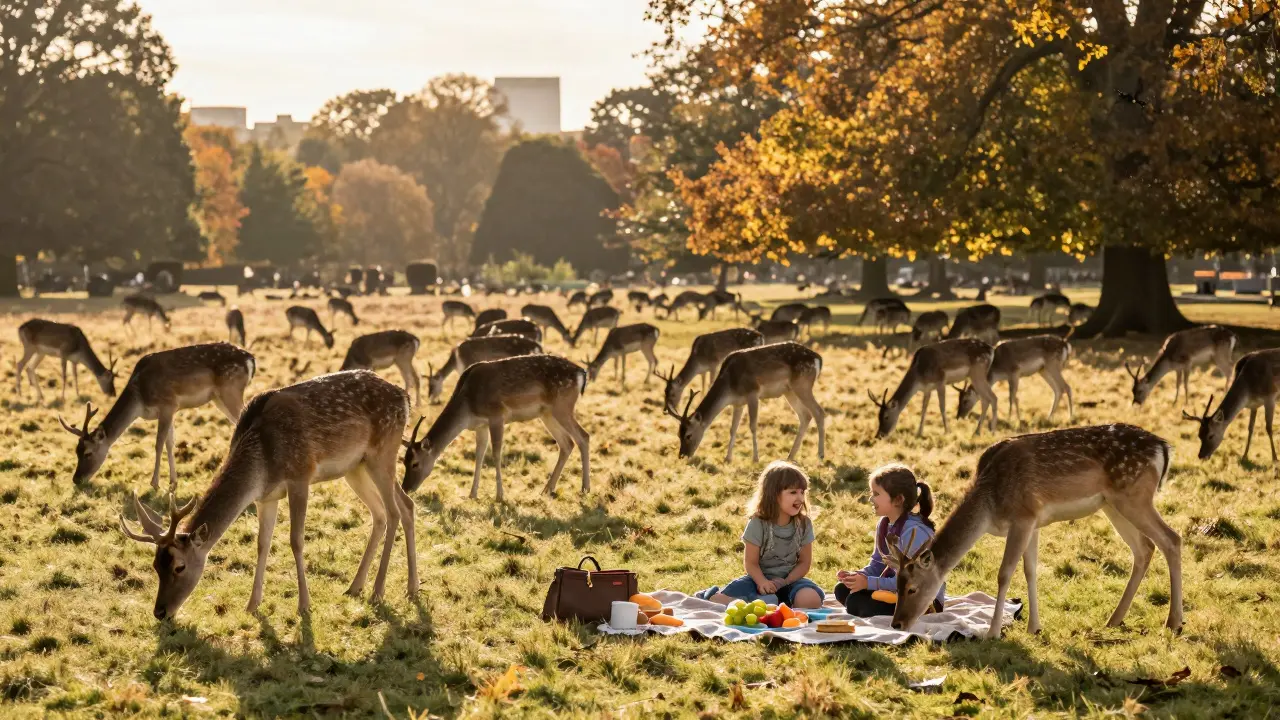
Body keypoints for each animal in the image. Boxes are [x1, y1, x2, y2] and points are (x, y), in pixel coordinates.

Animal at [60, 343, 256, 488]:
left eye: (88, 453)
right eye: (76, 451)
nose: (76, 479)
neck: (140, 399)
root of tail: (251, 359)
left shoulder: (168, 404)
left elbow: (158, 443)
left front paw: (154, 483)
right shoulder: (171, 411)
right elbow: (170, 442)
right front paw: (173, 482)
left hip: (230, 389)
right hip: (218, 398)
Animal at [119, 370, 417, 619]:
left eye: (179, 567)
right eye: (155, 565)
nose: (160, 612)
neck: (263, 461)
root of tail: (405, 398)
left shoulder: (300, 476)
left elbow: (296, 540)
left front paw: (304, 605)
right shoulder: (266, 497)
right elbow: (262, 544)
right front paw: (252, 605)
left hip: (383, 452)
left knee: (393, 511)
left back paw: (378, 591)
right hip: (356, 467)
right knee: (399, 507)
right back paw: (382, 587)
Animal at [403, 354, 590, 502]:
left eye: (414, 464)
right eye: (403, 461)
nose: (406, 488)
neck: (468, 407)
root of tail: (581, 373)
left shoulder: (497, 415)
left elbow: (496, 453)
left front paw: (499, 496)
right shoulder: (481, 425)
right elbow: (479, 455)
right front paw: (472, 494)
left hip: (562, 406)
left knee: (583, 436)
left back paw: (585, 489)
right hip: (547, 413)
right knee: (567, 443)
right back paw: (546, 490)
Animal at [665, 342, 825, 463]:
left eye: (688, 435)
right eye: (678, 434)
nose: (682, 455)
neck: (730, 386)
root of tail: (818, 359)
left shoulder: (753, 392)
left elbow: (752, 426)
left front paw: (755, 458)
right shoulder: (738, 402)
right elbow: (733, 428)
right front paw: (727, 458)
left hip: (803, 385)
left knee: (819, 412)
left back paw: (820, 455)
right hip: (790, 391)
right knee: (805, 416)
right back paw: (790, 456)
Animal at [888, 424, 1181, 639]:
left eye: (912, 588)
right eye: (897, 584)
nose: (896, 624)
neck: (990, 505)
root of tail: (1163, 447)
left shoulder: (1023, 515)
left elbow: (1004, 573)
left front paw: (993, 633)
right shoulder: (1034, 522)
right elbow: (1030, 570)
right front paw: (1034, 627)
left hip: (1134, 496)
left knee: (1171, 539)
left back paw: (1174, 622)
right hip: (1113, 504)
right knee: (1144, 548)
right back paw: (1114, 619)